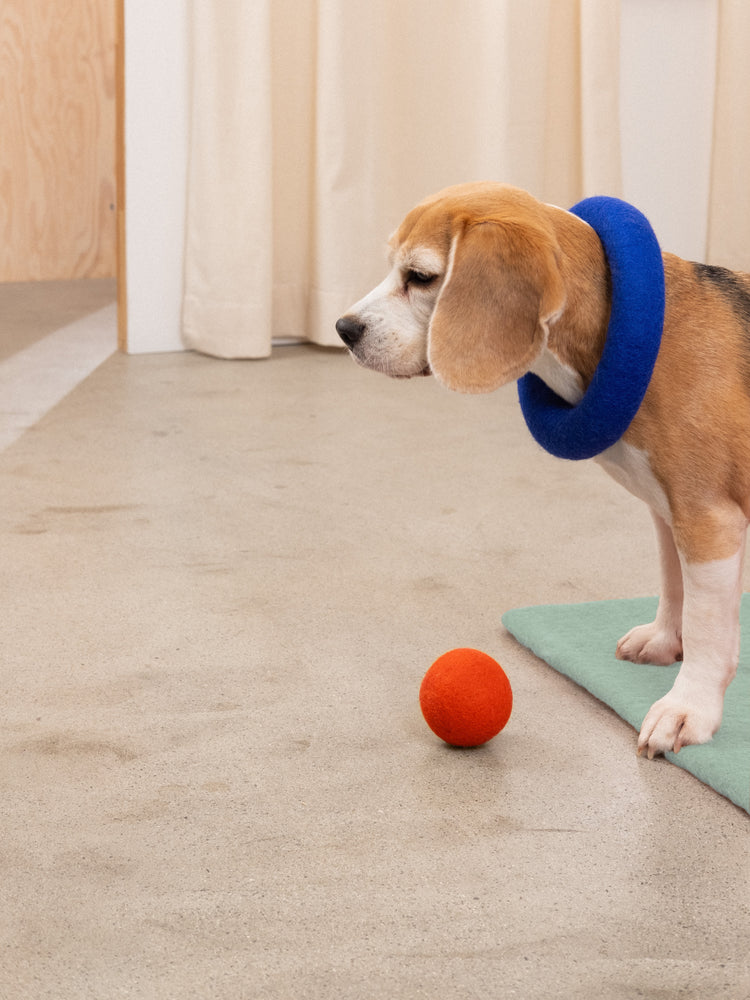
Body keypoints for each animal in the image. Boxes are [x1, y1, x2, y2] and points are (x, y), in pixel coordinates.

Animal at [336, 182, 750, 756]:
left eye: (419, 276)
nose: (343, 329)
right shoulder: (667, 511)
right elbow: (674, 586)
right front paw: (667, 640)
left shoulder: (708, 519)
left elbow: (708, 624)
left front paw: (688, 709)